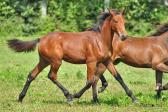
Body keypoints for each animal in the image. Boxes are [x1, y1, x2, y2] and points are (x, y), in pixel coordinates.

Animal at [7, 8, 136, 103]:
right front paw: (76, 95)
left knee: (32, 75)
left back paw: (21, 97)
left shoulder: (107, 61)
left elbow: (118, 77)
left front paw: (133, 98)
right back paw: (68, 96)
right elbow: (90, 81)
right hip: (56, 61)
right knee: (51, 76)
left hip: (44, 61)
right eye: (115, 21)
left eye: (124, 22)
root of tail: (41, 39)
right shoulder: (91, 62)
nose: (124, 36)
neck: (100, 40)